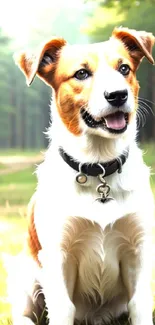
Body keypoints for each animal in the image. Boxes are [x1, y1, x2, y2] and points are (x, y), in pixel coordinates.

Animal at [12, 27, 155, 324]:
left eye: (124, 68)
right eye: (81, 73)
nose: (118, 95)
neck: (99, 167)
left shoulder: (138, 247)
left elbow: (139, 302)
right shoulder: (58, 252)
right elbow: (63, 306)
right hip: (27, 278)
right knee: (23, 313)